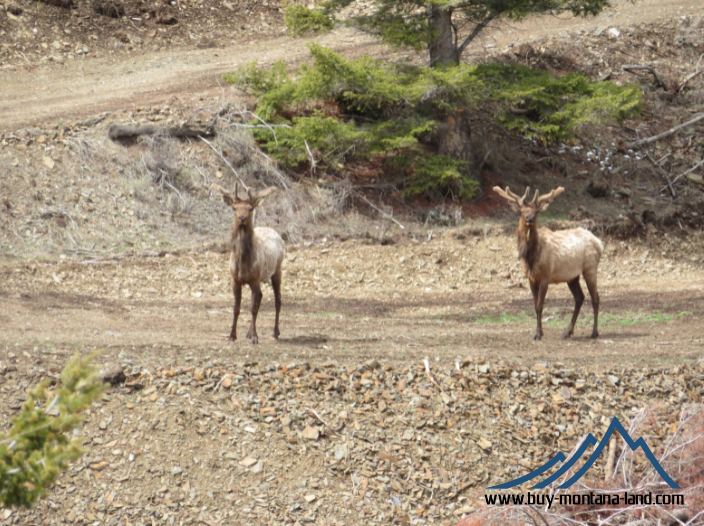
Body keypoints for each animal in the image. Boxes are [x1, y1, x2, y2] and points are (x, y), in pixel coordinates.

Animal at [213, 184, 284, 344]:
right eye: (234, 208)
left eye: (250, 208)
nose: (242, 218)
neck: (243, 263)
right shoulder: (235, 280)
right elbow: (236, 308)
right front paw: (232, 336)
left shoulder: (255, 279)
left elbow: (252, 308)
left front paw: (255, 337)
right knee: (261, 297)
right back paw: (248, 333)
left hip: (277, 269)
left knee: (278, 300)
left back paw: (275, 333)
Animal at [492, 187, 604, 342]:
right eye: (521, 211)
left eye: (536, 211)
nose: (530, 218)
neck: (531, 257)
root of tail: (599, 242)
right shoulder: (531, 279)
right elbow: (535, 305)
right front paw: (539, 332)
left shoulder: (545, 277)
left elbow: (540, 305)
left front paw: (538, 334)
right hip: (572, 276)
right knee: (579, 297)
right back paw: (567, 331)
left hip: (590, 268)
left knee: (595, 298)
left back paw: (594, 332)